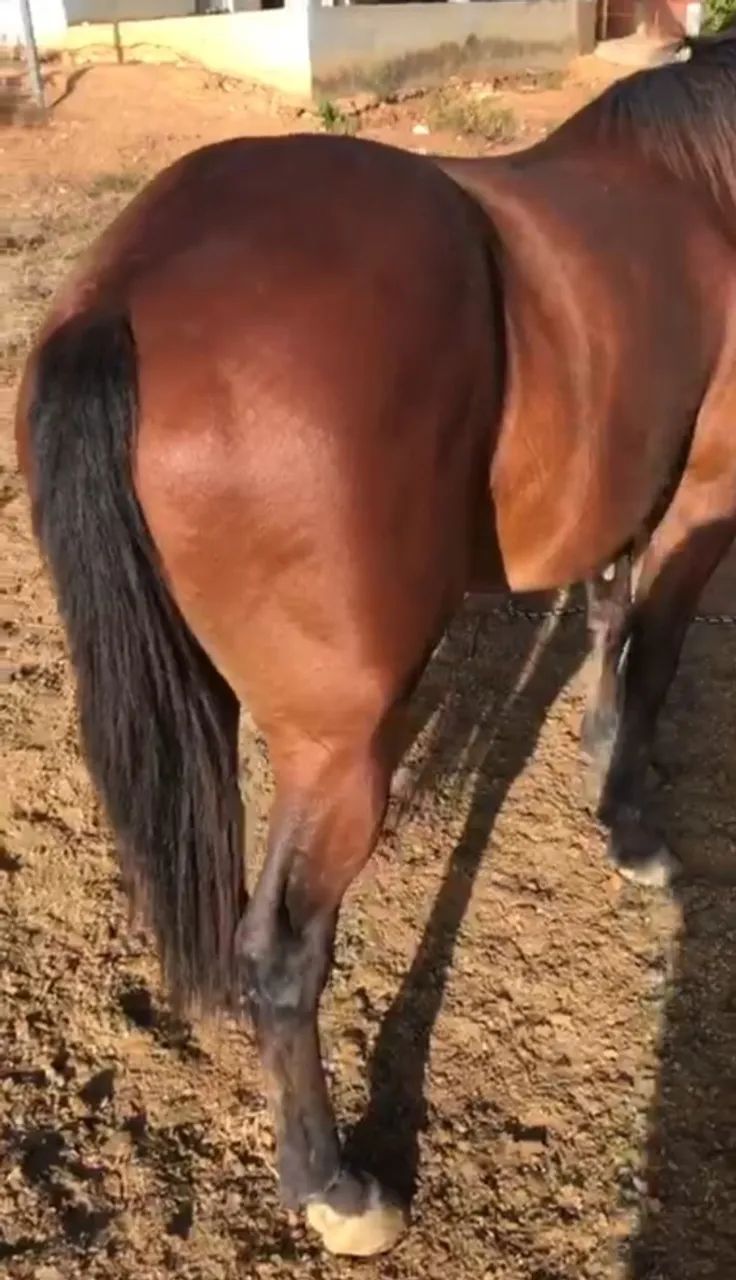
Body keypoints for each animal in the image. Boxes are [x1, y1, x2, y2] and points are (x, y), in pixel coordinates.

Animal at [15, 28, 736, 1257]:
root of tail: (128, 288)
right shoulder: (703, 500)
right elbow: (653, 655)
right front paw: (630, 823)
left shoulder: (627, 496)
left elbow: (609, 621)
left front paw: (598, 759)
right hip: (343, 744)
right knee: (279, 950)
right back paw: (334, 1187)